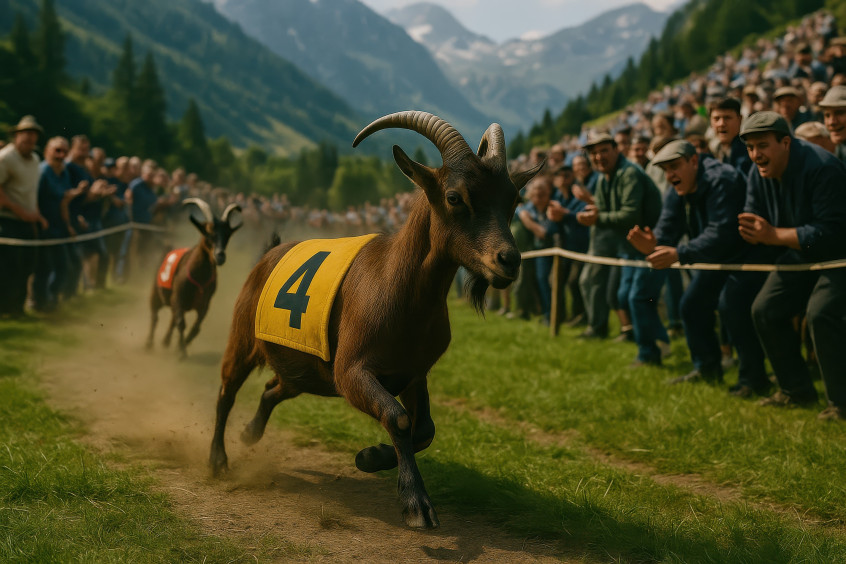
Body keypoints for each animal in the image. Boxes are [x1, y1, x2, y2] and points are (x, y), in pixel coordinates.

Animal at [146, 198, 241, 357]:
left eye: (228, 235)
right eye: (208, 233)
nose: (220, 256)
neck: (199, 277)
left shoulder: (204, 303)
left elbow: (196, 327)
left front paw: (184, 343)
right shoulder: (178, 298)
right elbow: (181, 323)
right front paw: (182, 351)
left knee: (171, 319)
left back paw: (166, 341)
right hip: (156, 295)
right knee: (154, 317)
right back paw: (148, 344)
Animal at [208, 111, 542, 528]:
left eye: (514, 199)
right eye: (454, 197)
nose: (509, 261)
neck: (396, 286)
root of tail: (268, 253)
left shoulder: (414, 372)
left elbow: (424, 429)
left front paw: (370, 457)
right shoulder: (351, 371)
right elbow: (398, 419)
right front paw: (416, 503)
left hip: (304, 373)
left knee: (273, 389)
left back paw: (250, 434)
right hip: (244, 341)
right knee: (226, 390)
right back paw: (218, 460)